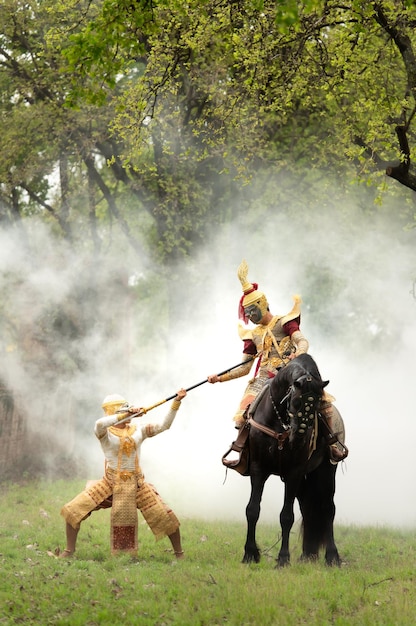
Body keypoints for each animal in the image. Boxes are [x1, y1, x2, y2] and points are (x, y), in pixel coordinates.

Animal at [242, 356, 342, 564]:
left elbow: (287, 516)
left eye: (318, 403)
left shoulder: (293, 473)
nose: (299, 439)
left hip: (326, 471)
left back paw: (332, 556)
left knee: (328, 508)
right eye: (296, 402)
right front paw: (250, 553)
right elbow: (252, 510)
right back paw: (307, 555)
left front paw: (283, 559)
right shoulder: (258, 469)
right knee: (307, 507)